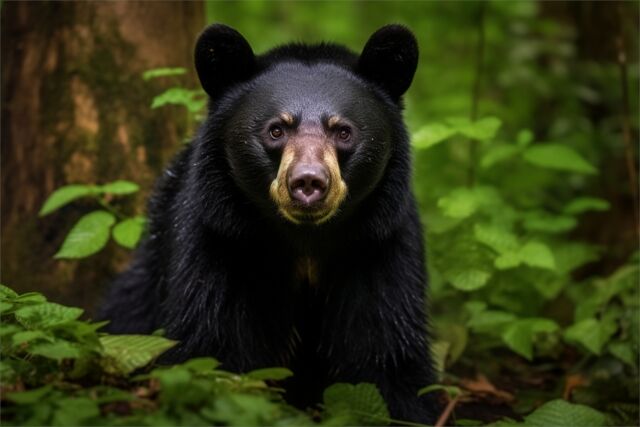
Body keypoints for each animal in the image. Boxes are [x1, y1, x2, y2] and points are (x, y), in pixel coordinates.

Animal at [102, 24, 440, 424]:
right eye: (276, 130)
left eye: (343, 131)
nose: (308, 182)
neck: (306, 241)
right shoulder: (218, 240)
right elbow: (212, 343)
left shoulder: (379, 245)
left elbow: (386, 350)